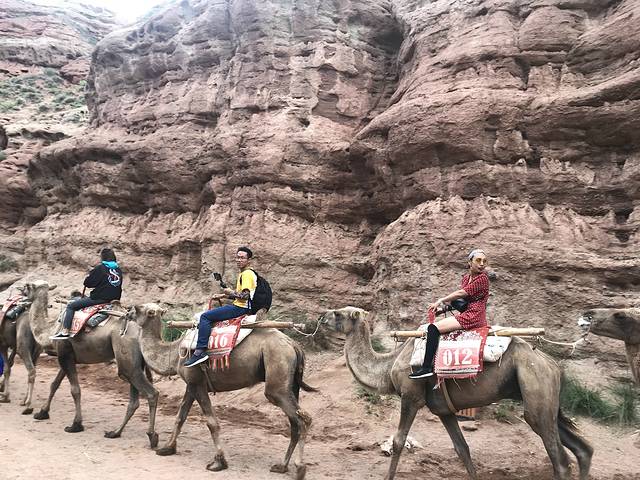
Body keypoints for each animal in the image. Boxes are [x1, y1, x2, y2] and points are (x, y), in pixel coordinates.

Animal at [0, 285, 43, 414]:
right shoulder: (12, 346)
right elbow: (9, 365)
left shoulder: (3, 345)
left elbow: (6, 368)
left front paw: (6, 396)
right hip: (36, 351)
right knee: (33, 370)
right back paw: (24, 401)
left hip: (23, 348)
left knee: (31, 371)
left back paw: (28, 405)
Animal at [24, 281, 160, 447]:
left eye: (27, 286)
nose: (21, 292)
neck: (51, 329)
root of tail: (141, 332)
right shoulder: (68, 356)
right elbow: (54, 384)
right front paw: (42, 412)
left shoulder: (64, 354)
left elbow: (75, 390)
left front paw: (75, 425)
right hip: (135, 364)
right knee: (134, 400)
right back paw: (115, 432)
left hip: (126, 357)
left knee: (151, 393)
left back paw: (152, 436)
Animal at [129, 303, 314, 479]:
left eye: (140, 309)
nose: (128, 312)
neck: (174, 353)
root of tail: (294, 346)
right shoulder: (191, 384)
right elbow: (180, 417)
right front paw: (167, 448)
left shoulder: (197, 384)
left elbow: (211, 422)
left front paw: (218, 462)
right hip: (291, 384)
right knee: (294, 423)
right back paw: (282, 466)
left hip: (277, 379)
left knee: (302, 418)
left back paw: (300, 467)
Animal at [322, 307, 593, 480]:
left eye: (339, 313)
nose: (321, 316)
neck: (389, 366)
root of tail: (553, 364)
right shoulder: (443, 410)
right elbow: (462, 448)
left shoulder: (411, 397)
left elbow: (399, 441)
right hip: (544, 397)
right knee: (583, 449)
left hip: (535, 384)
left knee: (560, 460)